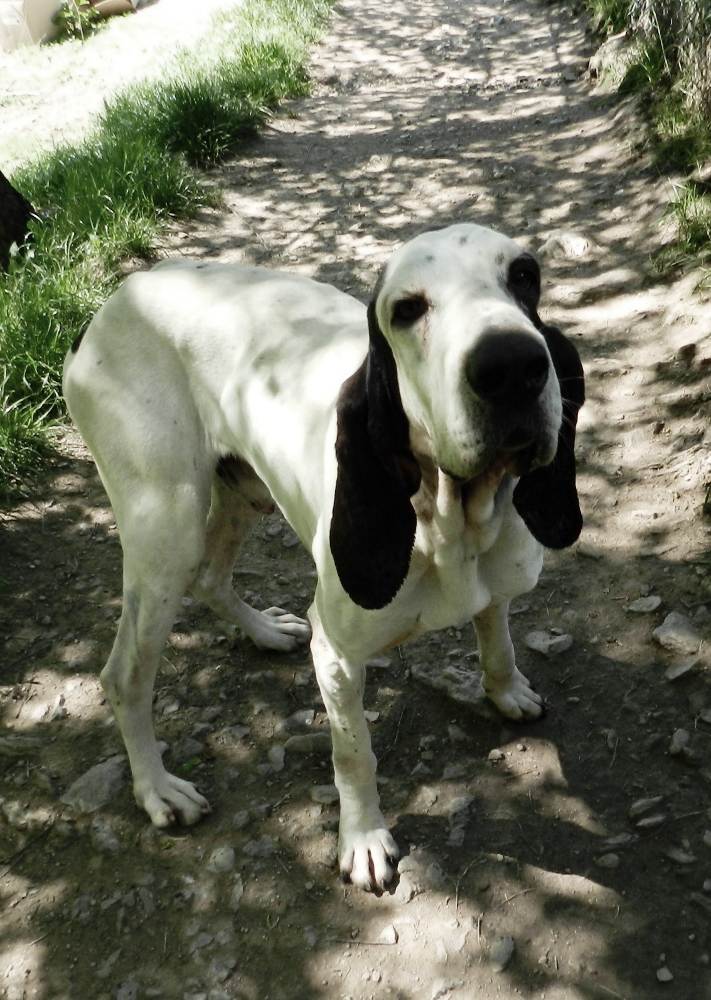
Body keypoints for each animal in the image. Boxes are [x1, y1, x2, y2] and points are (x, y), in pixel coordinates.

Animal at [62, 225, 584, 892]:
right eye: (406, 309)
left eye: (524, 275)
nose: (512, 366)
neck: (451, 521)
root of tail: (116, 299)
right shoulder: (336, 657)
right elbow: (353, 752)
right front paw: (362, 837)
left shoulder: (495, 592)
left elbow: (498, 641)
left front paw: (506, 690)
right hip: (165, 534)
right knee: (124, 674)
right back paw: (156, 787)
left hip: (242, 495)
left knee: (212, 577)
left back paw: (263, 631)